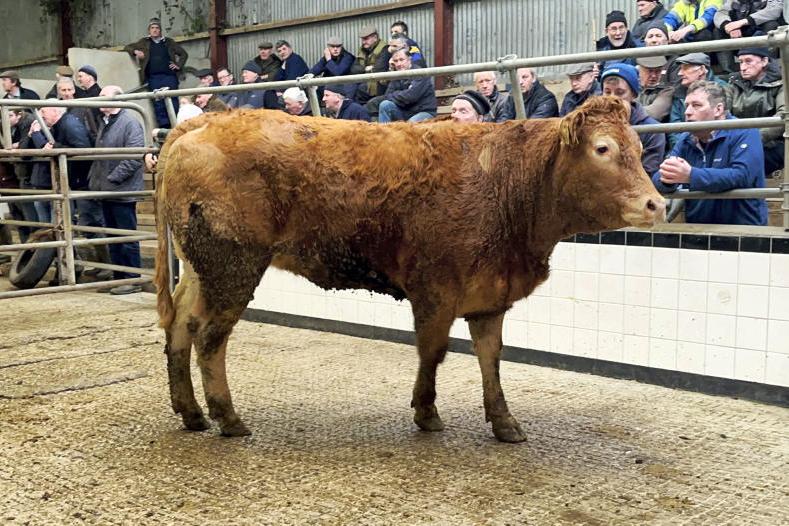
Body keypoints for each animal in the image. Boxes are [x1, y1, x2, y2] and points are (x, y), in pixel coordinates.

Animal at [153, 96, 665, 442]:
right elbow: (432, 351)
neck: (503, 183)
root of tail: (202, 120)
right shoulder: (436, 288)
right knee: (210, 337)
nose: (656, 204)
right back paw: (227, 418)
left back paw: (191, 412)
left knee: (180, 325)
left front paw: (503, 421)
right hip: (233, 265)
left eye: (640, 149)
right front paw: (426, 412)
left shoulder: (489, 294)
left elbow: (490, 357)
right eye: (602, 149)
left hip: (200, 268)